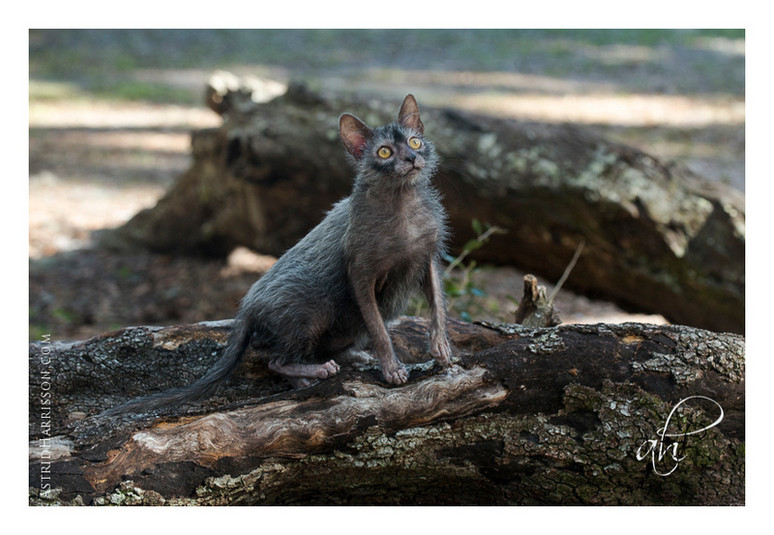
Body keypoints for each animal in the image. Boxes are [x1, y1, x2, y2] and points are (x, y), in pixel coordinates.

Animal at [103, 94, 454, 416]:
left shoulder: (429, 258)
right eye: (384, 152)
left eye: (415, 141)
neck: (403, 204)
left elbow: (437, 304)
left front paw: (442, 348)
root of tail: (246, 306)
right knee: (275, 360)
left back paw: (339, 362)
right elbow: (379, 328)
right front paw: (392, 369)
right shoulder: (361, 274)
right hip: (313, 309)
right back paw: (318, 371)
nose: (412, 157)